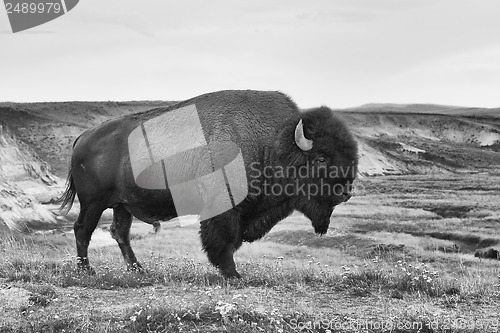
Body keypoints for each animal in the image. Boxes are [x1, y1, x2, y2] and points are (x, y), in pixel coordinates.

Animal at [58, 89, 358, 278]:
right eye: (321, 158)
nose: (346, 191)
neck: (274, 143)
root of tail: (83, 137)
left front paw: (231, 272)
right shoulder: (223, 209)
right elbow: (223, 240)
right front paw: (232, 274)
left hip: (122, 205)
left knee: (120, 233)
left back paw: (137, 269)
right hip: (94, 203)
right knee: (83, 230)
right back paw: (86, 271)